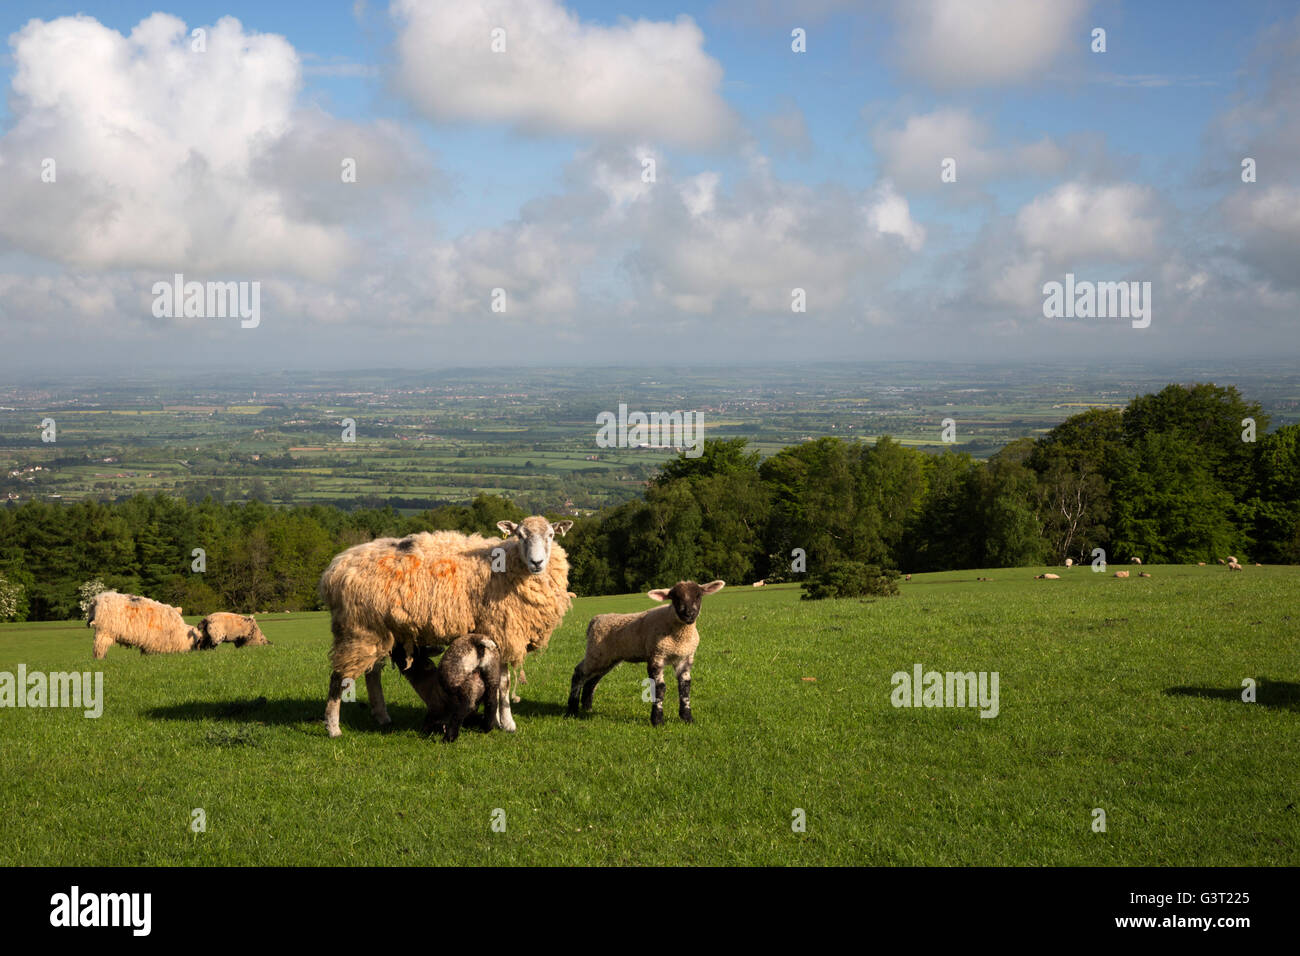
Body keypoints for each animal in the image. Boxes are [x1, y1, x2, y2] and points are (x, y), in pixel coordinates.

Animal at [318, 515, 569, 738]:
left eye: (551, 535)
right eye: (520, 535)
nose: (537, 563)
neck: (510, 563)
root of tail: (335, 569)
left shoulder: (500, 632)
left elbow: (497, 680)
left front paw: (497, 720)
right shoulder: (501, 629)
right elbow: (504, 682)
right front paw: (507, 723)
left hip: (377, 630)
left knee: (373, 673)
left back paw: (381, 716)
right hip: (358, 628)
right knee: (339, 678)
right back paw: (333, 728)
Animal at [564, 582, 728, 723]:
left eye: (698, 595)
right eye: (675, 597)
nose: (689, 614)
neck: (679, 635)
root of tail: (595, 619)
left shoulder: (685, 658)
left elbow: (685, 687)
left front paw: (687, 718)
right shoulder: (656, 655)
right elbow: (659, 688)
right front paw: (657, 720)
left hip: (607, 658)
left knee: (592, 680)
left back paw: (587, 708)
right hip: (595, 652)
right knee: (579, 673)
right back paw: (572, 710)